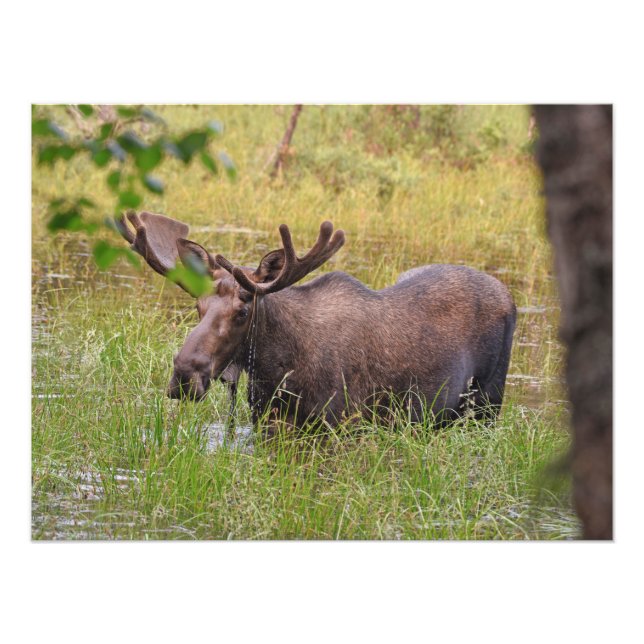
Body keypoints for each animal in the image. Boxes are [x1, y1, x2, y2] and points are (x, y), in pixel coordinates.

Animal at [115, 211, 517, 428]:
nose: (184, 375)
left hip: (487, 404)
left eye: (243, 311)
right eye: (198, 307)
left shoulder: (340, 425)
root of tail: (509, 296)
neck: (278, 370)